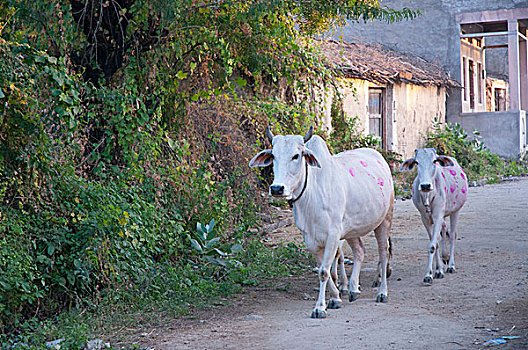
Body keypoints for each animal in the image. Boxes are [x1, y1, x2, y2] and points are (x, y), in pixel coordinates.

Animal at [250, 127, 394, 318]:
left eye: (296, 156)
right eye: (273, 155)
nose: (277, 188)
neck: (311, 194)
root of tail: (379, 157)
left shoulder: (333, 235)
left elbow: (325, 272)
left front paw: (319, 307)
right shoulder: (310, 239)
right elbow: (322, 270)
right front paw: (335, 298)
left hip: (384, 220)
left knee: (384, 253)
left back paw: (382, 292)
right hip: (351, 230)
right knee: (359, 251)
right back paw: (353, 289)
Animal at [400, 148, 470, 284]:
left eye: (434, 161)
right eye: (417, 162)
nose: (425, 186)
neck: (428, 195)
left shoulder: (438, 215)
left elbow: (433, 245)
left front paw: (430, 274)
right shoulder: (425, 219)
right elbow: (435, 243)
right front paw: (437, 270)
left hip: (455, 211)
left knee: (452, 236)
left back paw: (451, 265)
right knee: (443, 231)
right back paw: (445, 257)